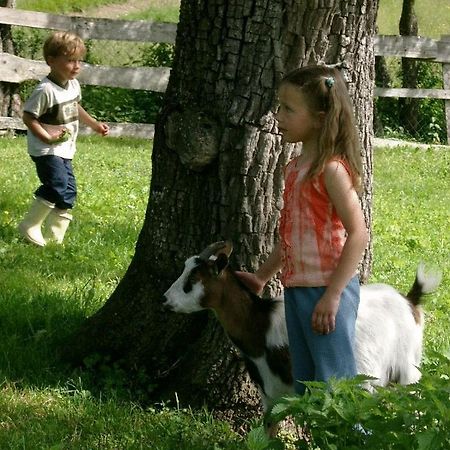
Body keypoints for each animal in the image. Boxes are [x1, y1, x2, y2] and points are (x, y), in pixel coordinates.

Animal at [163, 241, 442, 414]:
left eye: (192, 280)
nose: (165, 301)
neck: (260, 325)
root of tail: (410, 301)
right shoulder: (272, 397)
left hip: (408, 371)